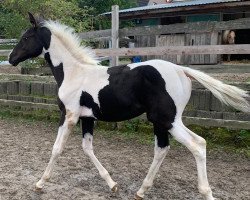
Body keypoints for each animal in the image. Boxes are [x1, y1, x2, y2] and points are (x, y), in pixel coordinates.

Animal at [8, 13, 249, 199]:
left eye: (26, 37)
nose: (11, 59)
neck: (74, 72)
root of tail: (182, 70)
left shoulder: (69, 115)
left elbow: (57, 148)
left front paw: (40, 183)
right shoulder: (87, 118)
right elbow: (87, 148)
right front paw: (112, 184)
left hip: (169, 119)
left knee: (197, 144)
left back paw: (206, 192)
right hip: (159, 121)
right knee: (162, 149)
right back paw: (141, 191)